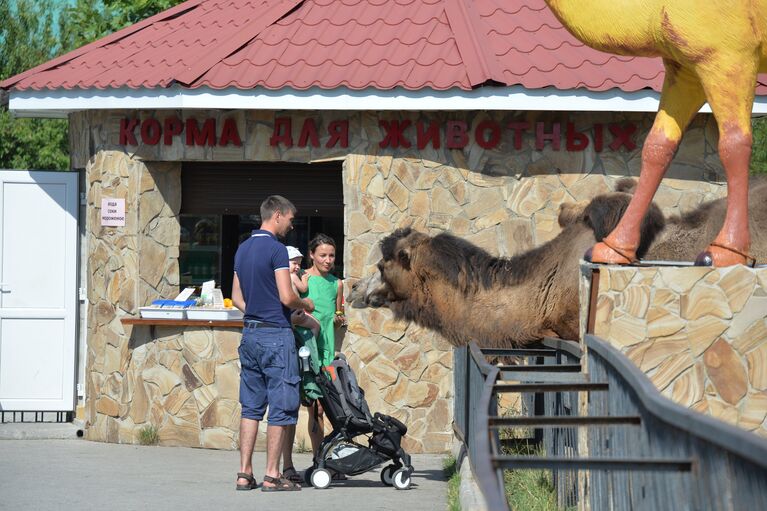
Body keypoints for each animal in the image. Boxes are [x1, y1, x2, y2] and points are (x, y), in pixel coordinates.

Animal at [544, 1, 767, 268]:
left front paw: (724, 253)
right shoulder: (684, 69)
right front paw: (612, 250)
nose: (561, 212)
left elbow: (734, 142)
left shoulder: (731, 54)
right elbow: (657, 146)